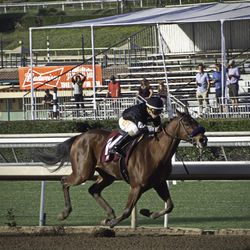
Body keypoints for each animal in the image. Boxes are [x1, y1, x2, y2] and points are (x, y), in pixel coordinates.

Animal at [37, 109, 208, 227]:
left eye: (195, 120)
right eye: (187, 123)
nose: (203, 139)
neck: (156, 152)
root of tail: (79, 137)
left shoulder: (159, 183)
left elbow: (170, 206)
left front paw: (147, 212)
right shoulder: (136, 186)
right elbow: (126, 211)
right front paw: (113, 224)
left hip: (107, 175)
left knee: (93, 190)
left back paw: (109, 214)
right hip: (82, 172)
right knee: (64, 181)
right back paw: (65, 213)